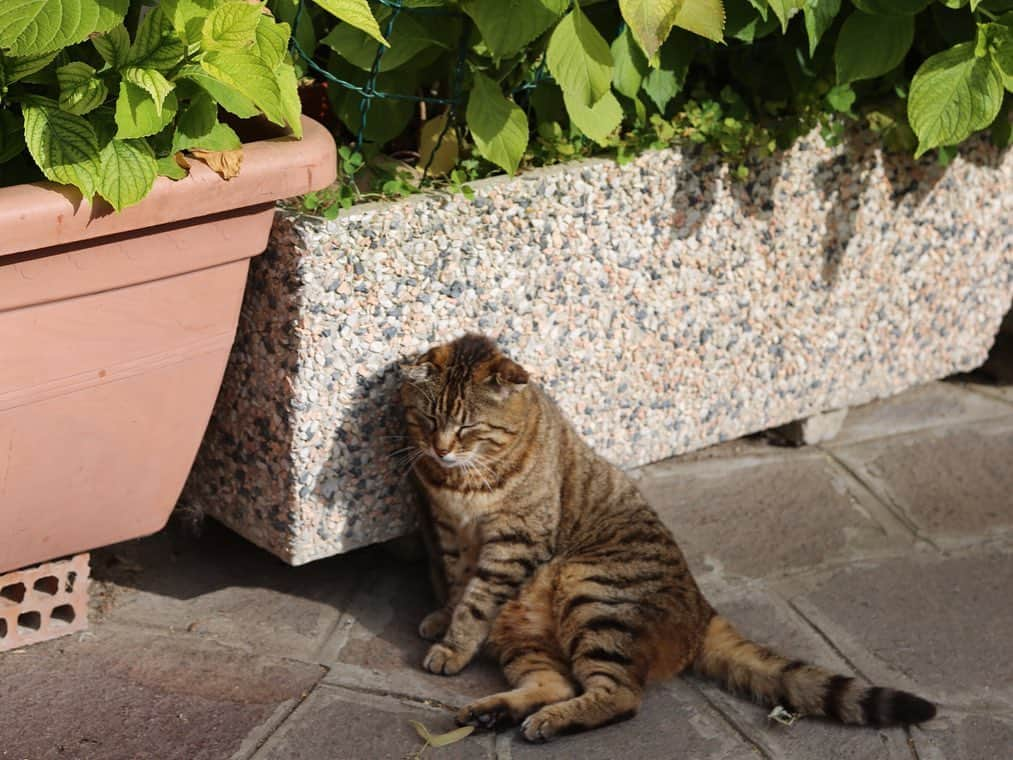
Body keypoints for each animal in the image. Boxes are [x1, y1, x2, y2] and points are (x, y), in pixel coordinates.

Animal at [399, 334, 936, 745]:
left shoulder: (515, 539)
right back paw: (492, 713)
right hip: (528, 633)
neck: (462, 482)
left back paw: (547, 721)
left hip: (593, 592)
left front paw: (453, 644)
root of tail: (702, 610)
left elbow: (477, 599)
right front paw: (443, 618)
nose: (440, 449)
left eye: (467, 427)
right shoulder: (448, 529)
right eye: (429, 421)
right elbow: (457, 583)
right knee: (556, 681)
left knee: (618, 695)